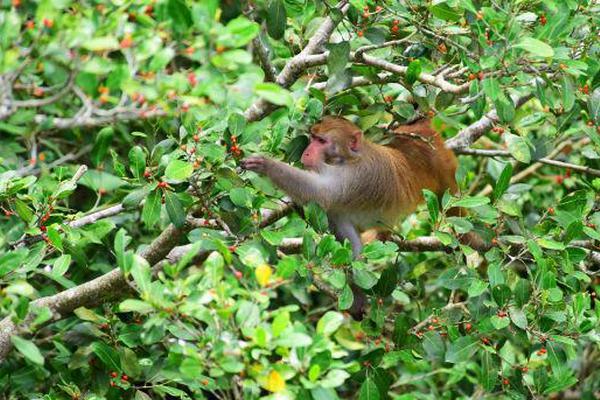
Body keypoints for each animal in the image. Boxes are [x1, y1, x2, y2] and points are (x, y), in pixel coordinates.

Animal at [241, 116, 466, 318]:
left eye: (321, 141)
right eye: (312, 137)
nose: (306, 152)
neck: (349, 158)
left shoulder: (357, 176)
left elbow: (323, 192)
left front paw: (266, 165)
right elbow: (349, 244)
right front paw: (357, 298)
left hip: (446, 170)